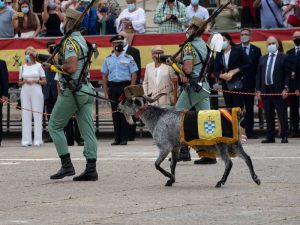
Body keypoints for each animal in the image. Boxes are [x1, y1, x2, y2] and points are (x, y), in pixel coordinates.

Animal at [118, 92, 262, 188]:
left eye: (127, 101)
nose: (118, 106)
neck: (157, 117)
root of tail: (237, 114)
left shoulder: (165, 147)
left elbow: (156, 164)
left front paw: (170, 177)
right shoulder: (175, 147)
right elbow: (173, 164)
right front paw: (171, 180)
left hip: (221, 144)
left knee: (229, 163)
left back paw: (220, 182)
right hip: (234, 143)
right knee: (247, 158)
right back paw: (256, 179)